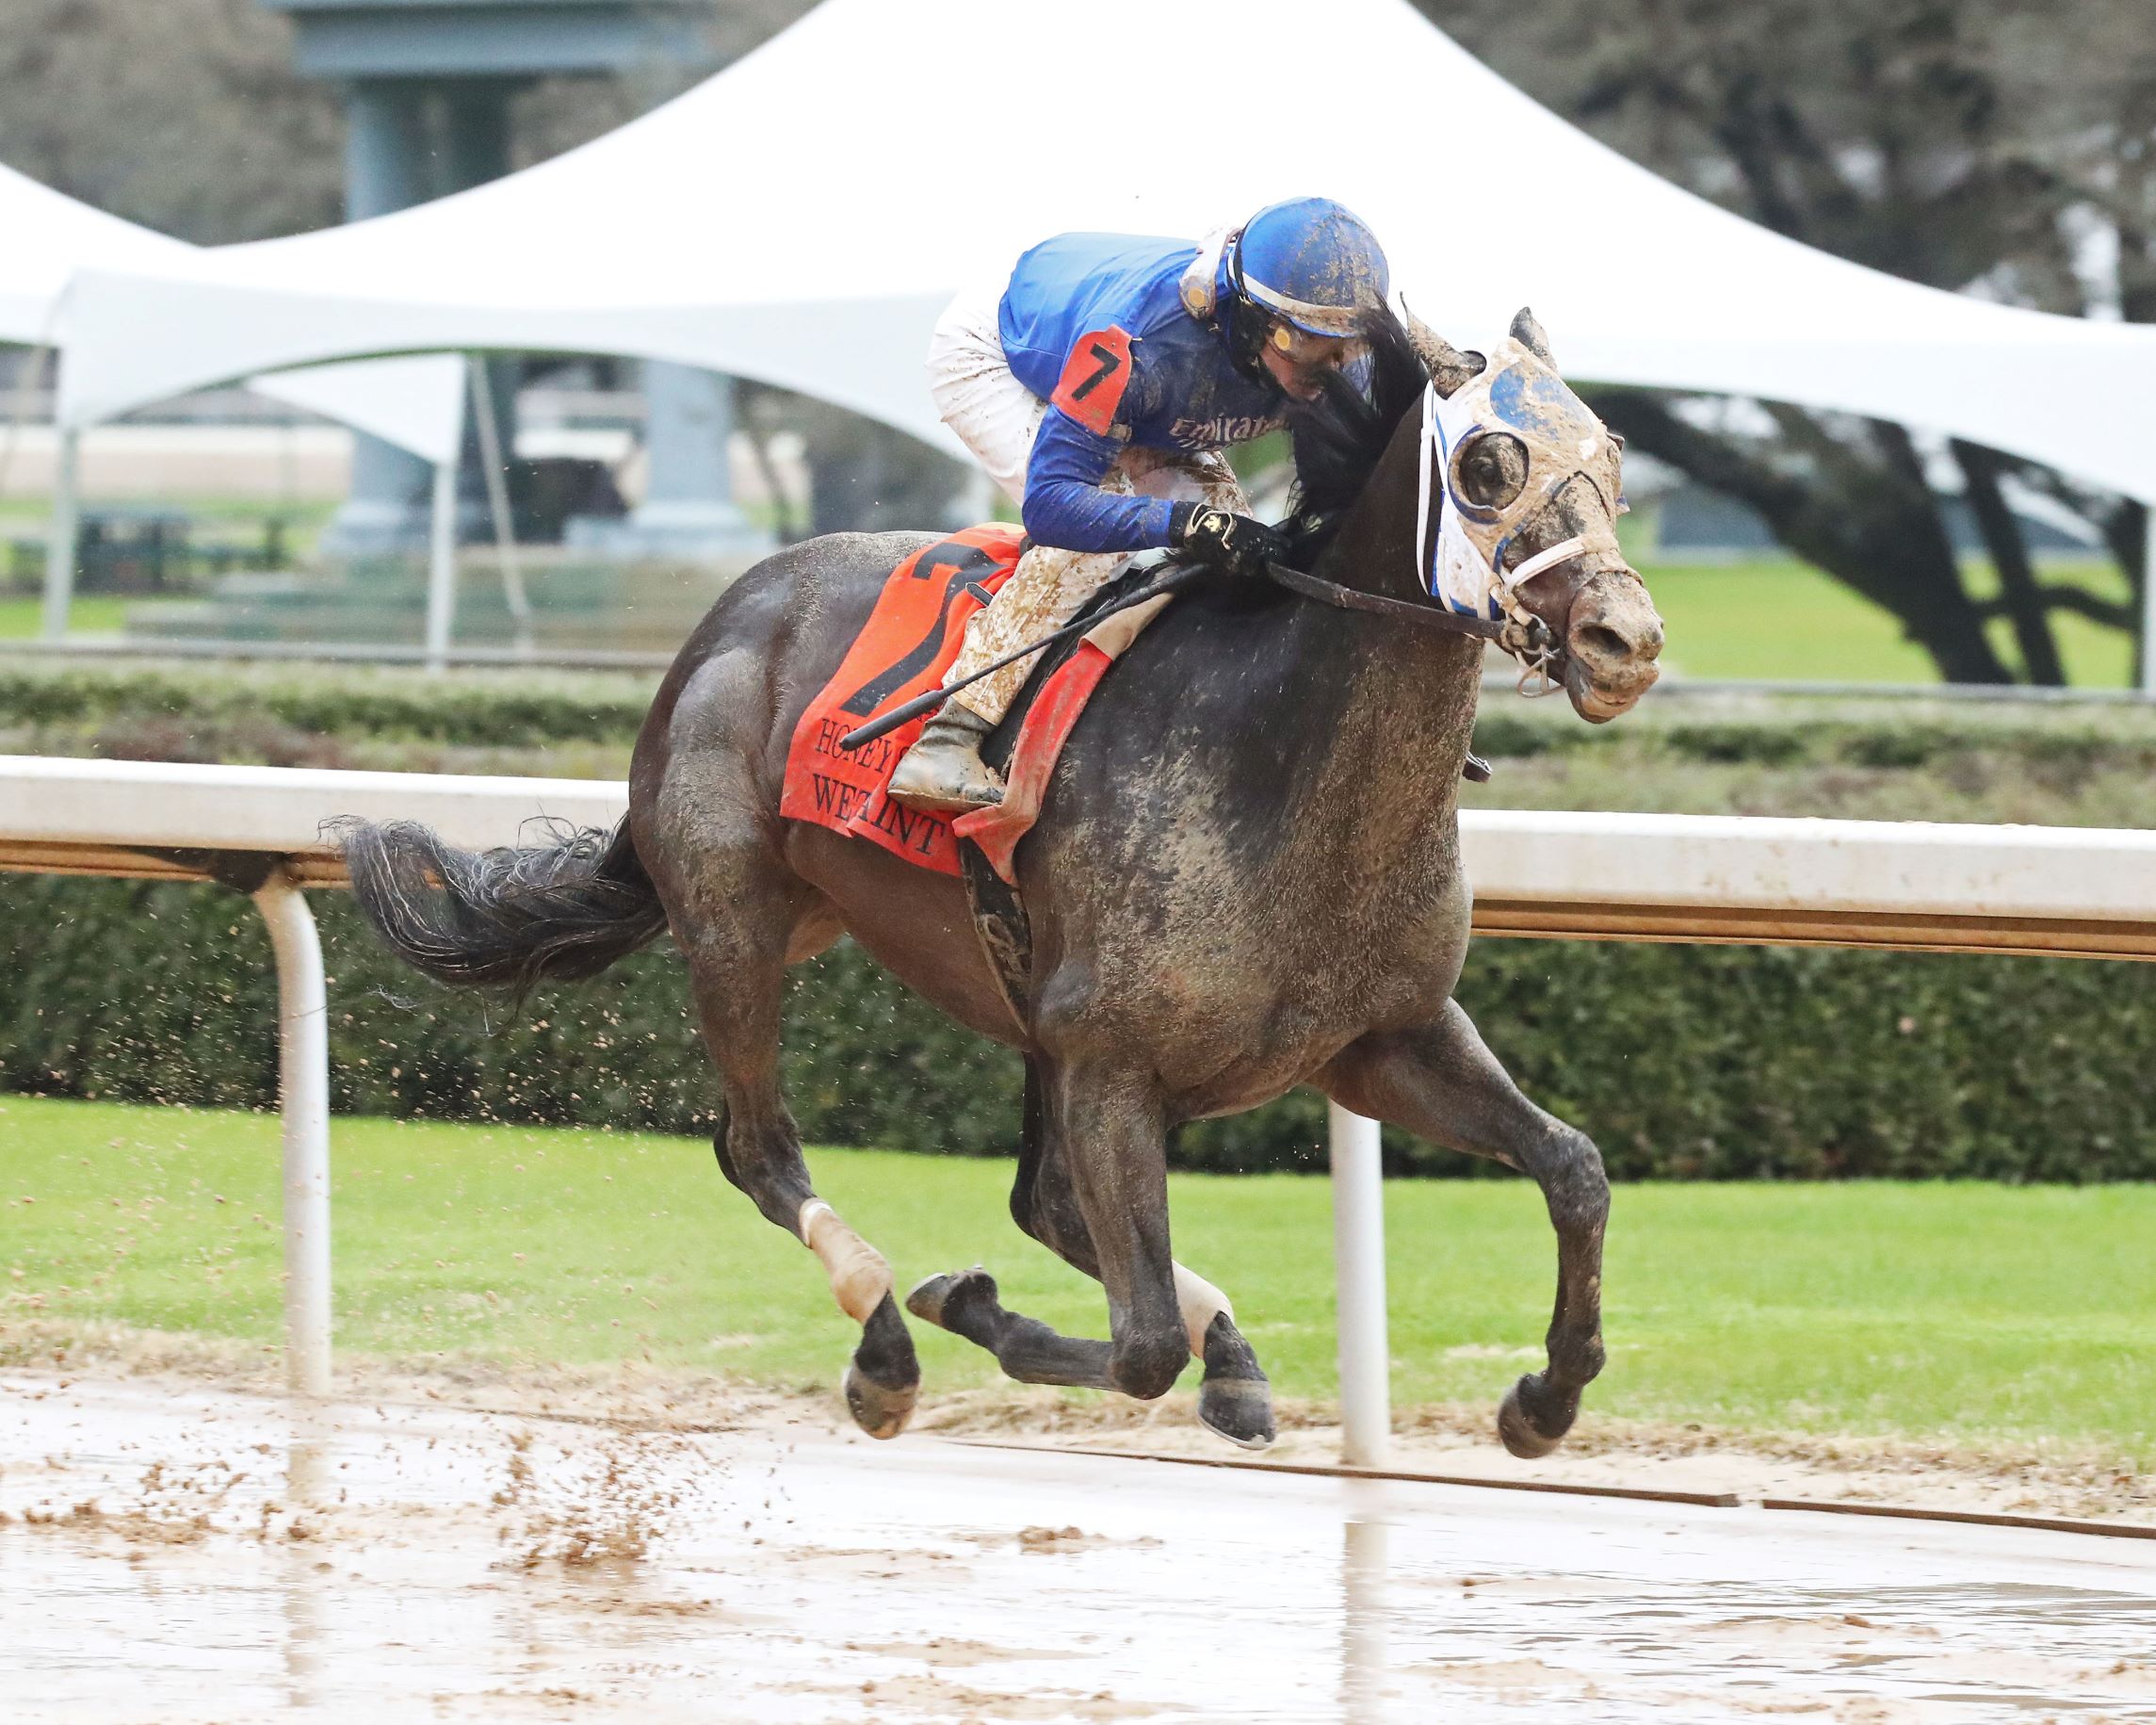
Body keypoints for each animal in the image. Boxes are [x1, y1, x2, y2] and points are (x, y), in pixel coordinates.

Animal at [339, 305, 1665, 1456]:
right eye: (1489, 462)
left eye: (1612, 451)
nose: (1628, 641)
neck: (1276, 753)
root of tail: (722, 621)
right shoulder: (1111, 1059)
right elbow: (1137, 1346)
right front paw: (969, 1306)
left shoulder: (1377, 1037)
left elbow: (1577, 1169)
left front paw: (1544, 1398)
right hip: (733, 922)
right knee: (760, 1150)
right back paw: (887, 1348)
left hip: (983, 991)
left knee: (1043, 1205)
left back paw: (1227, 1357)